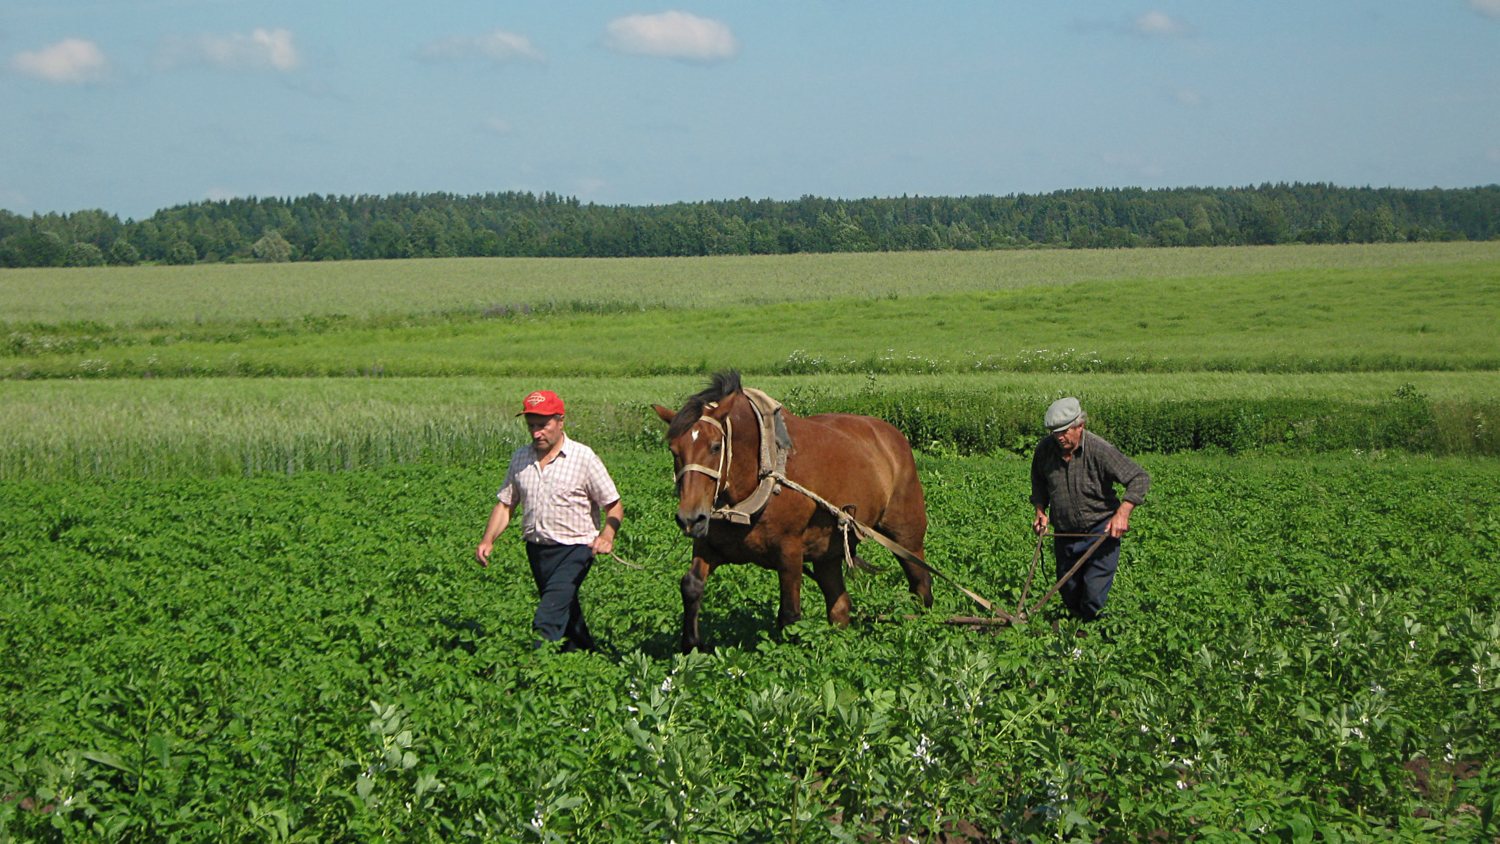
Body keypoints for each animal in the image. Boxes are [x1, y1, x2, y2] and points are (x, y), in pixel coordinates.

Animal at [651, 371, 930, 653]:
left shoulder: (789, 550)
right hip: (827, 551)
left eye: (715, 446)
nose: (689, 518)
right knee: (840, 605)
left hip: (906, 533)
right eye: (674, 450)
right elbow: (691, 585)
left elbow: (790, 614)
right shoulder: (710, 544)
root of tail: (891, 435)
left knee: (921, 584)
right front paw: (692, 646)